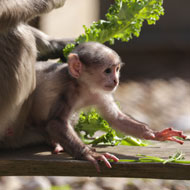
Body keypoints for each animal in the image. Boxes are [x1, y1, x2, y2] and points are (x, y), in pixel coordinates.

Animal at [29, 42, 186, 172]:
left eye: (117, 69)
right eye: (107, 71)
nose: (116, 80)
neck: (84, 87)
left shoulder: (100, 93)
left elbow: (115, 118)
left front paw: (155, 134)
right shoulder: (69, 91)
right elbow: (55, 123)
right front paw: (90, 154)